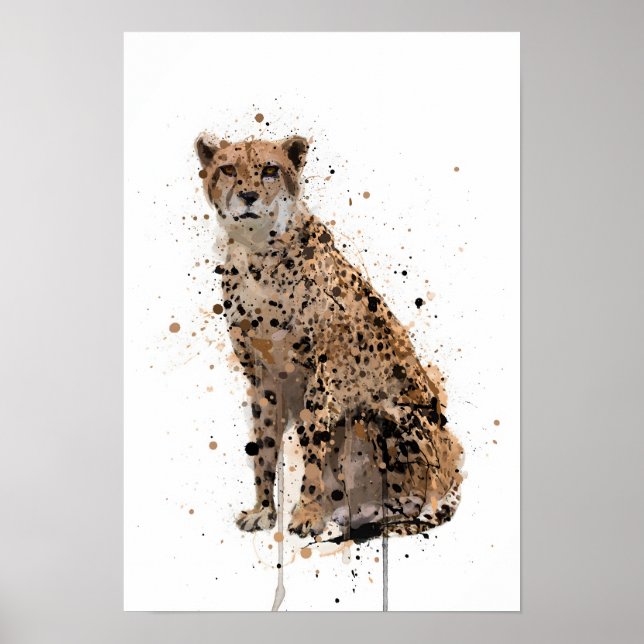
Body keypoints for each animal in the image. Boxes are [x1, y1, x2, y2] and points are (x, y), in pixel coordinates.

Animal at [195, 132, 464, 541]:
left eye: (270, 169)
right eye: (227, 169)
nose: (248, 196)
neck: (260, 256)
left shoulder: (323, 380)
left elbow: (313, 446)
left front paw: (307, 513)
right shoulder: (263, 380)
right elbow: (264, 447)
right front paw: (263, 511)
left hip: (388, 416)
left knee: (417, 506)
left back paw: (368, 517)